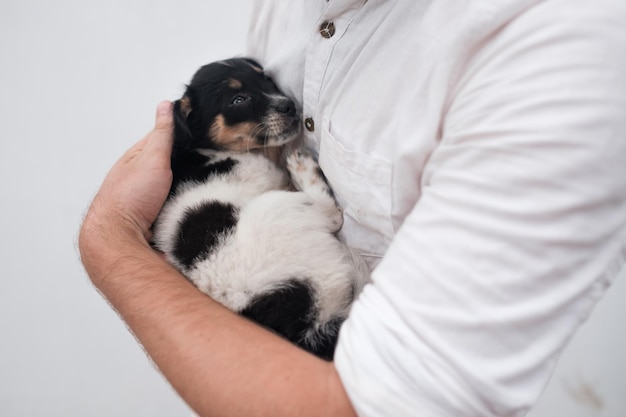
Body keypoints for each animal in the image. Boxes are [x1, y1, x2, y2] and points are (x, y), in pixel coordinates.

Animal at [151, 57, 368, 360]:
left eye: (266, 79)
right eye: (238, 100)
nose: (289, 105)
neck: (208, 150)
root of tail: (310, 325)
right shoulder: (265, 173)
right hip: (275, 208)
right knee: (331, 215)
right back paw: (301, 166)